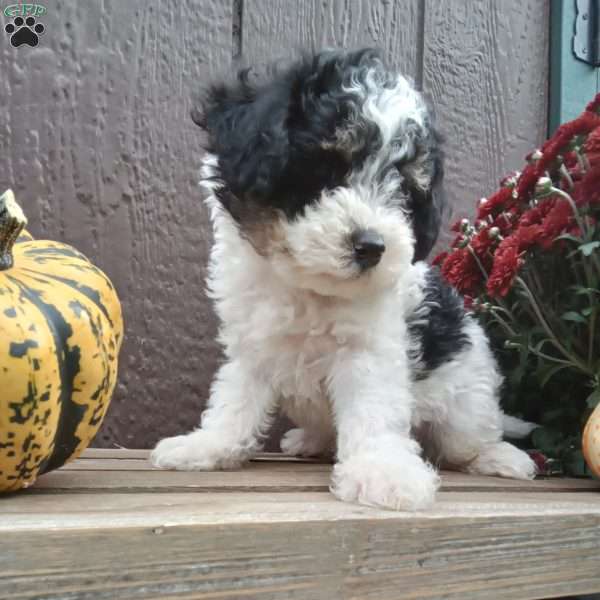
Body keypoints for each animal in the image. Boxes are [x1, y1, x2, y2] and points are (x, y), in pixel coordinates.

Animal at [152, 48, 536, 510]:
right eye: (324, 170)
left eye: (404, 189)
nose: (372, 246)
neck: (306, 286)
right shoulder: (252, 344)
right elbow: (234, 397)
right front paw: (208, 445)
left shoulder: (369, 351)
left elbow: (373, 412)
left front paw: (382, 471)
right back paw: (309, 440)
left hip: (464, 399)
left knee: (469, 438)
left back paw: (500, 456)